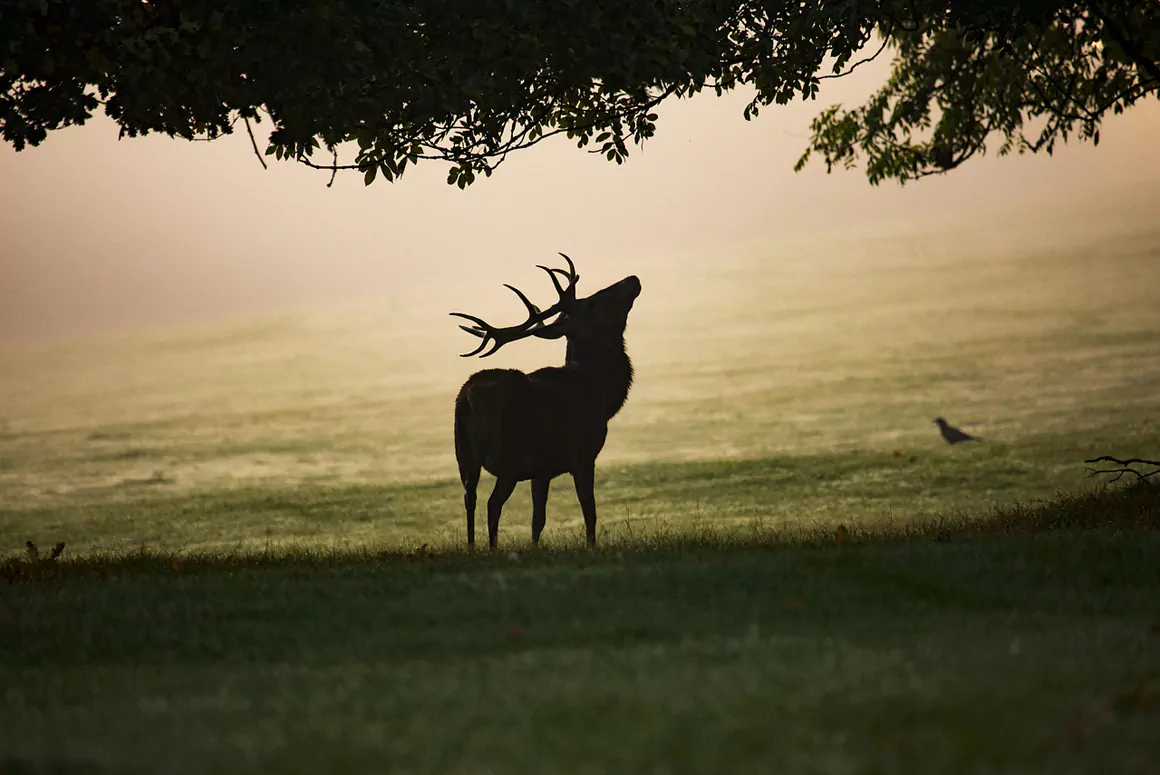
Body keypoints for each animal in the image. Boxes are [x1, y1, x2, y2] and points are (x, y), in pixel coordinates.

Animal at [450, 253, 641, 549]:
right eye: (592, 302)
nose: (633, 279)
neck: (601, 394)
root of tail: (470, 397)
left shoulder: (542, 469)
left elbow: (537, 519)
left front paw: (535, 547)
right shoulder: (582, 454)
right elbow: (589, 510)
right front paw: (591, 547)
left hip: (464, 454)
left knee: (470, 498)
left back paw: (472, 548)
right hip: (510, 455)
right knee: (492, 504)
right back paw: (492, 548)